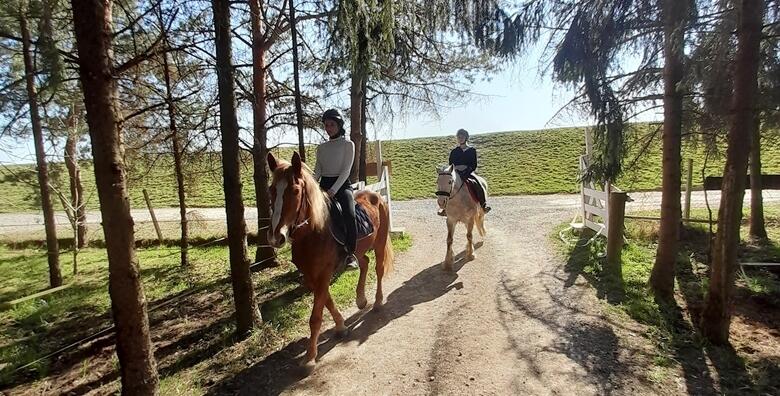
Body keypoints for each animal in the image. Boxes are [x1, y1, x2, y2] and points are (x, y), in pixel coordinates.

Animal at [266, 152, 394, 368]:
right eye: (271, 190)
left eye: (295, 190)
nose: (277, 237)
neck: (313, 232)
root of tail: (376, 196)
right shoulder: (310, 276)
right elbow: (326, 300)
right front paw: (341, 327)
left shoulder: (324, 273)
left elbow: (315, 317)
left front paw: (310, 357)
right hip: (359, 250)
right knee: (364, 262)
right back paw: (361, 299)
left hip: (380, 242)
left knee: (378, 268)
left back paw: (377, 303)